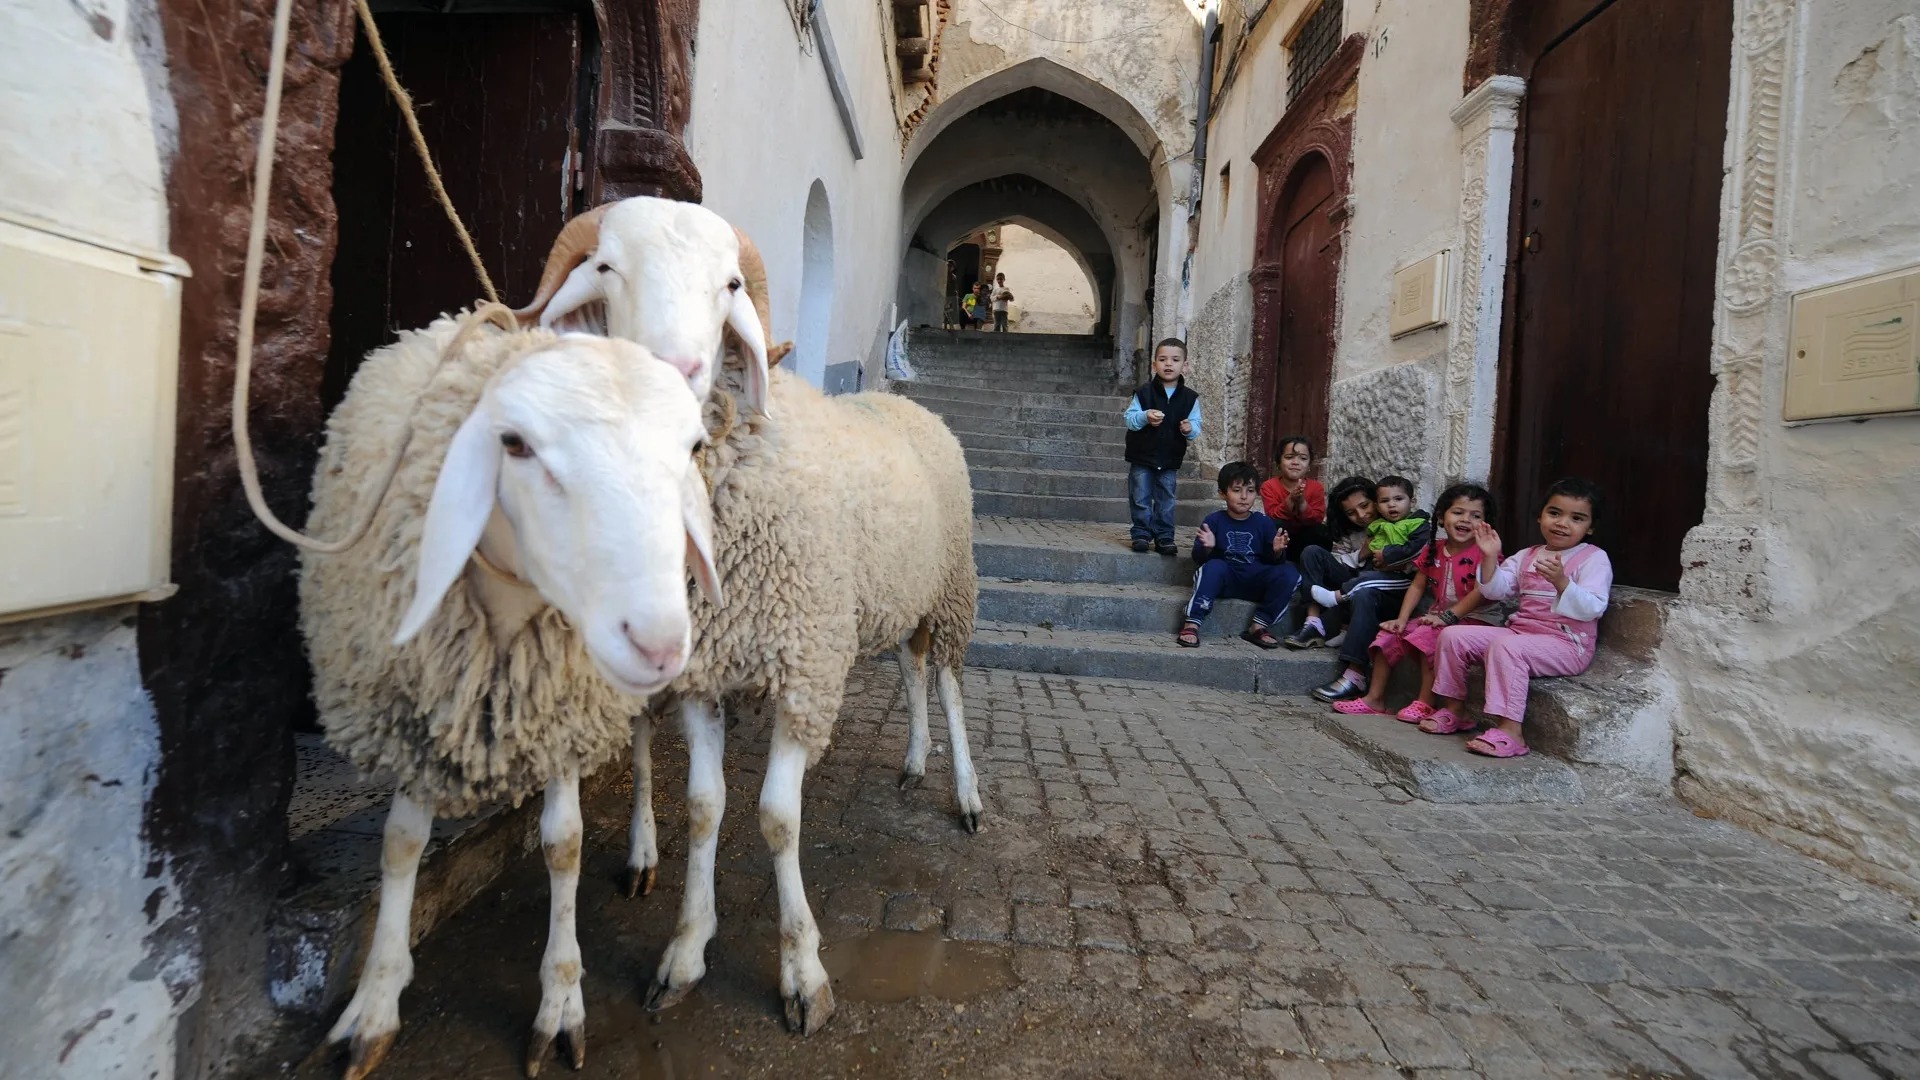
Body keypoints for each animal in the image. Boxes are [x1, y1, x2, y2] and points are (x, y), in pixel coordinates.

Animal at [295, 313, 718, 1076]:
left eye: (693, 446)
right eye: (515, 444)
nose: (660, 645)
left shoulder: (563, 713)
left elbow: (564, 844)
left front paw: (561, 1004)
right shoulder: (416, 712)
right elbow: (400, 844)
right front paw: (375, 1003)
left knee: (642, 745)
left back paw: (642, 848)